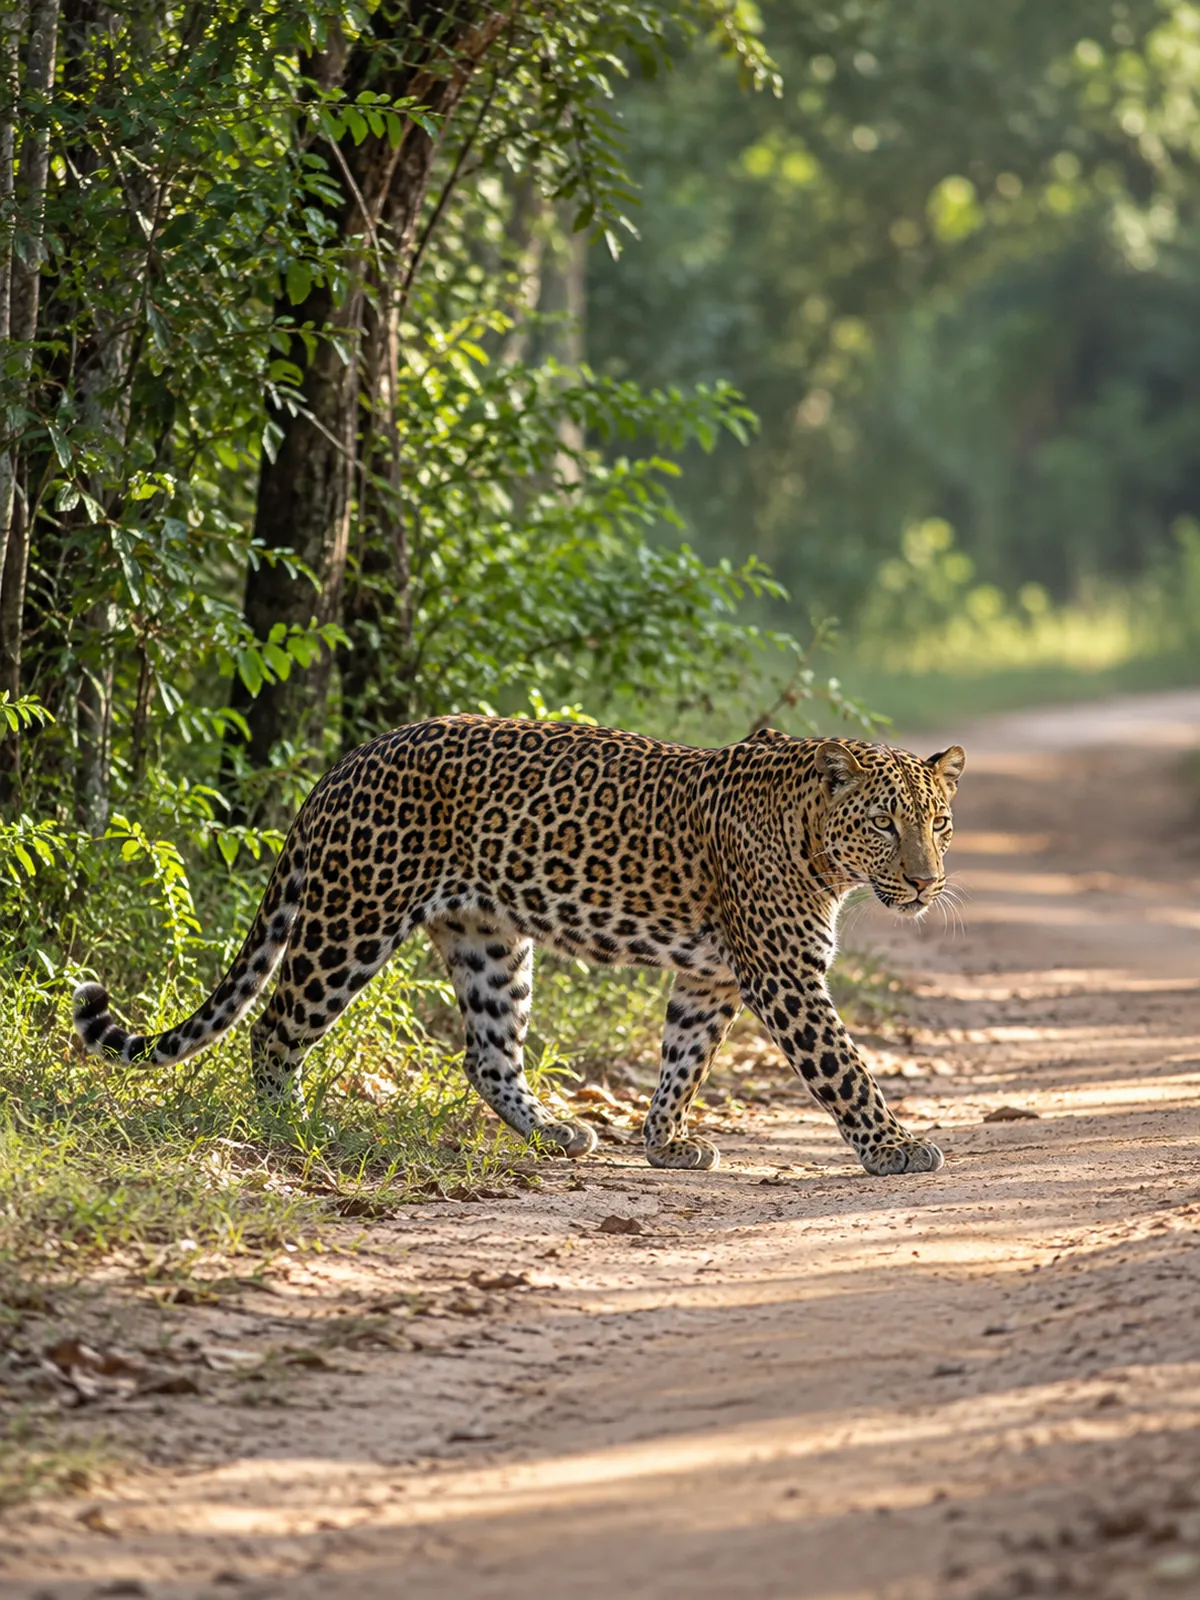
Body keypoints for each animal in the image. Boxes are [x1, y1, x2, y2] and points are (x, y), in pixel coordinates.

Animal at [73, 715, 965, 1177]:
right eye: (884, 823)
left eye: (940, 823)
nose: (926, 883)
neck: (816, 841)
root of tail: (345, 763)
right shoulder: (783, 975)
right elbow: (844, 1068)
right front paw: (895, 1148)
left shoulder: (710, 980)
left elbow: (682, 1060)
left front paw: (664, 1143)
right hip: (350, 922)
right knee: (274, 1025)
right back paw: (285, 1129)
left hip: (490, 942)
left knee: (487, 1054)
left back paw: (556, 1134)